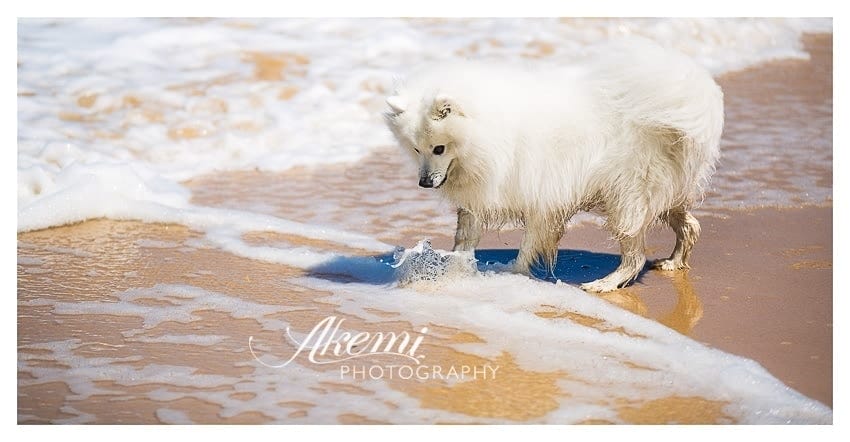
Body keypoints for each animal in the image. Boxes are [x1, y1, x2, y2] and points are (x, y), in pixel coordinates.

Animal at [384, 38, 724, 292]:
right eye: (416, 149)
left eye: (439, 148)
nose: (424, 182)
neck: (485, 132)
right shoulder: (478, 195)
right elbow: (465, 237)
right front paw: (455, 268)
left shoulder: (541, 193)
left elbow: (529, 242)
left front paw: (513, 272)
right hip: (665, 193)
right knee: (690, 225)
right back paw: (673, 262)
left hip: (625, 196)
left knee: (636, 255)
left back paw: (604, 283)